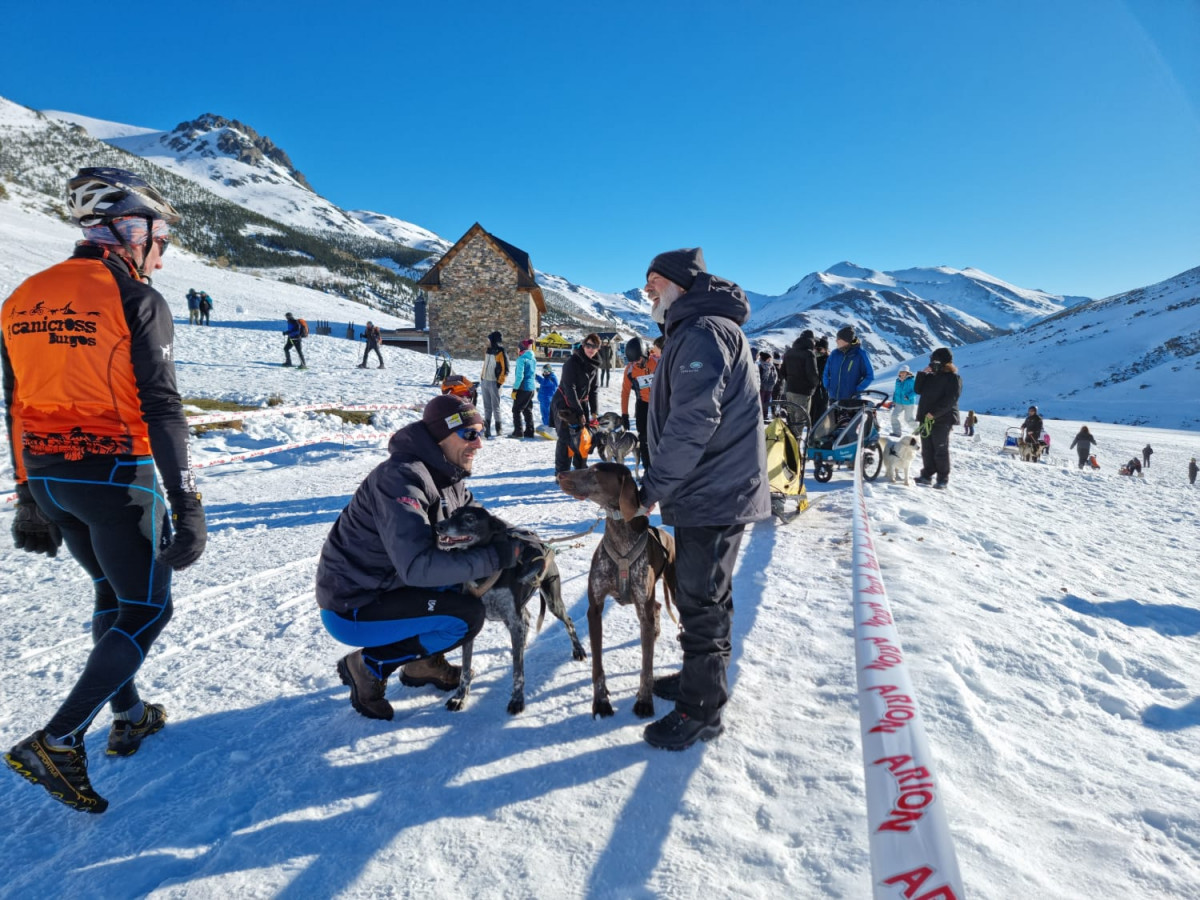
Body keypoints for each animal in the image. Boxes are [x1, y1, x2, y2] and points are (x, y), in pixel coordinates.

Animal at [554, 465, 676, 720]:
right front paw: (600, 701)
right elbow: (597, 667)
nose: (560, 474)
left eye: (594, 470)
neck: (621, 536)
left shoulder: (643, 609)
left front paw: (644, 700)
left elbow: (647, 667)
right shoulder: (595, 609)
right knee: (658, 607)